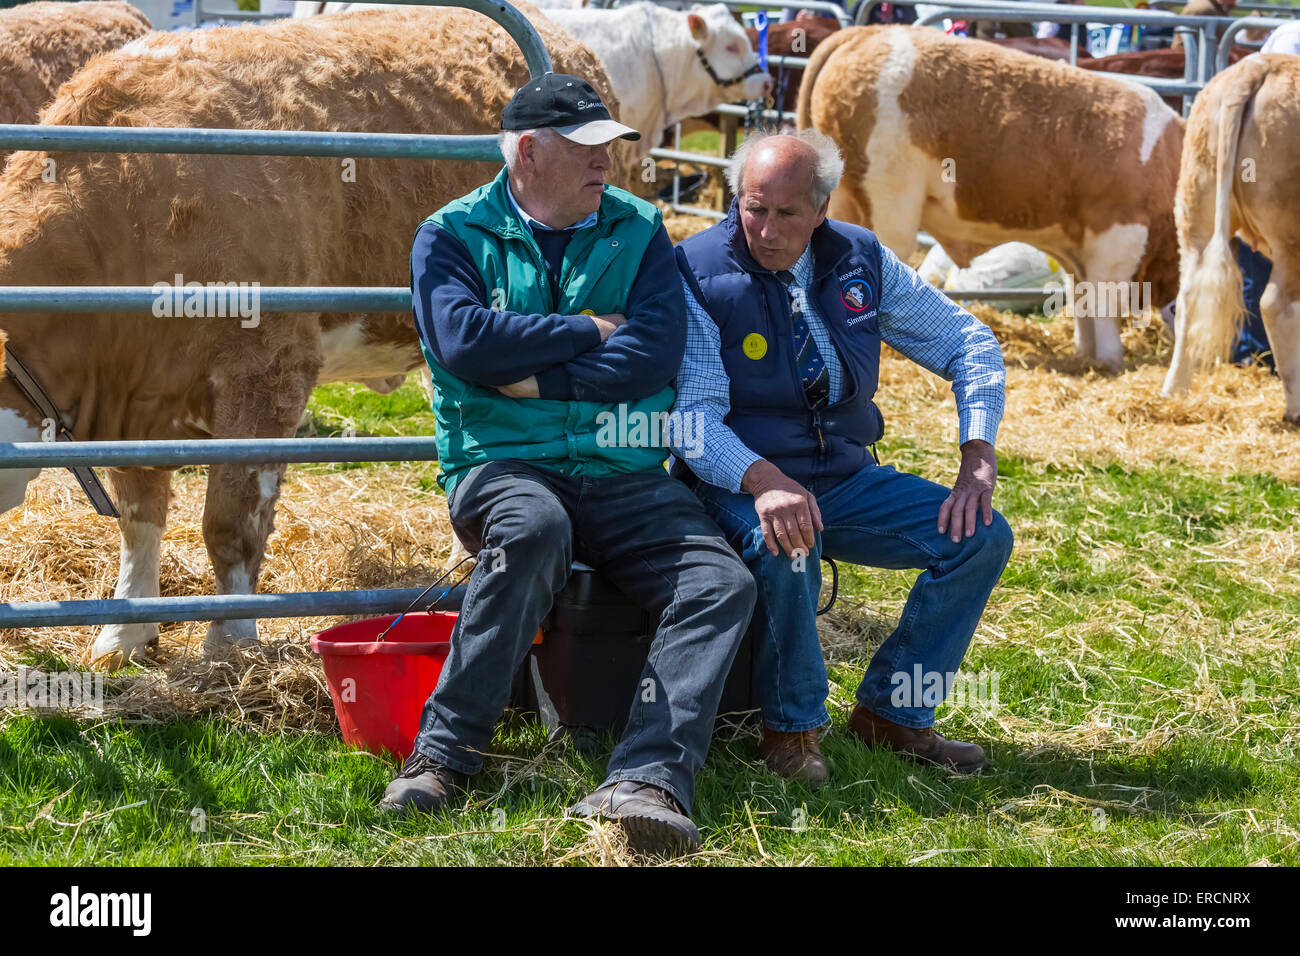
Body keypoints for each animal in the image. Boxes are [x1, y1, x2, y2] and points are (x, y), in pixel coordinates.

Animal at [0, 3, 639, 671]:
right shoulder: (138, 400)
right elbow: (139, 514)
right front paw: (125, 633)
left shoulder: (267, 368)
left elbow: (230, 520)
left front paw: (231, 641)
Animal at [795, 26, 1185, 369]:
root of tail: (864, 32)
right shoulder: (1117, 238)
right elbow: (1104, 300)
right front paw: (1111, 361)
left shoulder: (1078, 250)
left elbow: (1082, 299)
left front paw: (1086, 355)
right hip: (890, 203)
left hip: (845, 200)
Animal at [1164, 54, 1294, 421]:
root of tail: (1256, 65)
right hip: (1289, 232)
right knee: (1275, 304)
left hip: (1195, 211)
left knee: (1188, 299)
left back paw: (1174, 392)